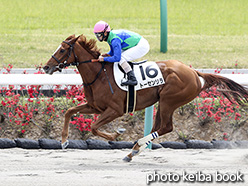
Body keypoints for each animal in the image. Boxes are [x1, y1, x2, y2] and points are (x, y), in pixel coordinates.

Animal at [43, 34, 248, 161]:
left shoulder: (115, 110)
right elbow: (69, 111)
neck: (99, 74)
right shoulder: (95, 106)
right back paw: (133, 152)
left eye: (62, 50)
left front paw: (116, 134)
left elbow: (93, 127)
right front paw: (64, 141)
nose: (46, 67)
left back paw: (136, 146)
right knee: (158, 127)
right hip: (163, 102)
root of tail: (194, 72)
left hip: (169, 100)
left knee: (166, 127)